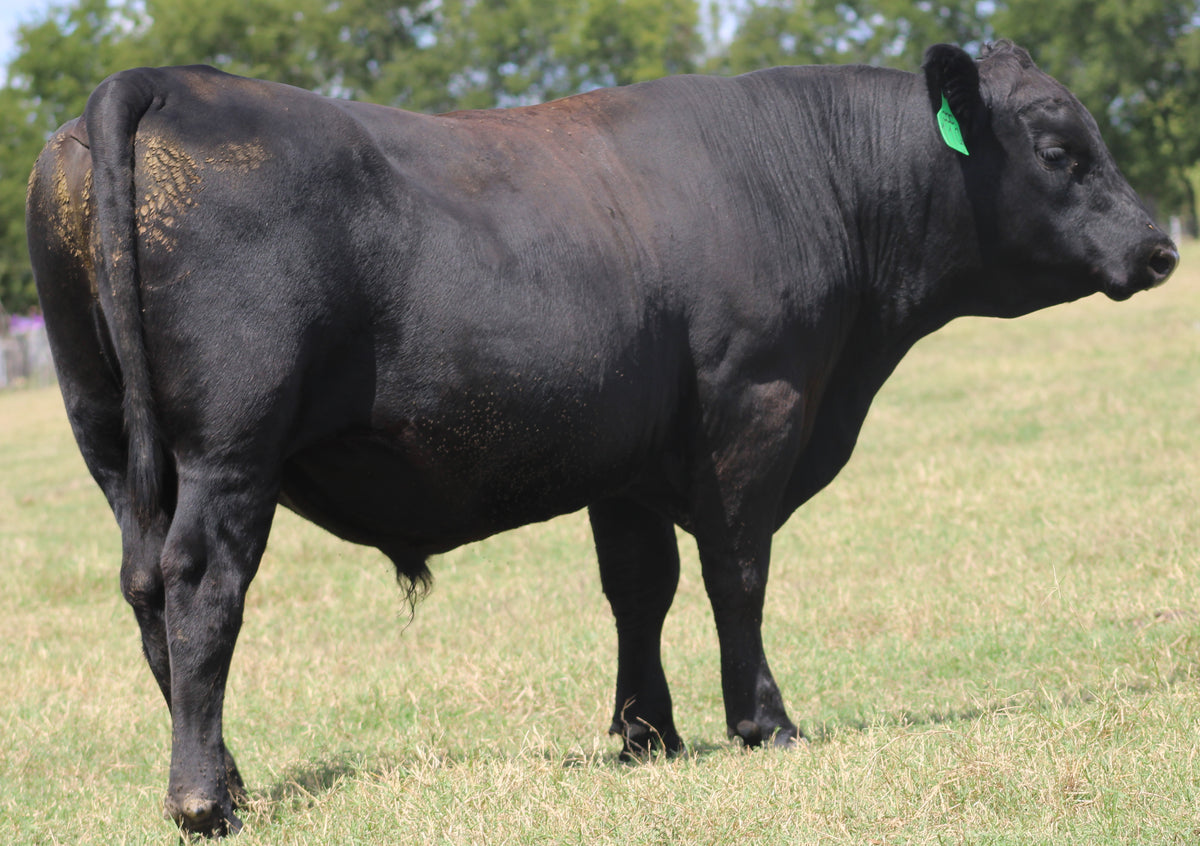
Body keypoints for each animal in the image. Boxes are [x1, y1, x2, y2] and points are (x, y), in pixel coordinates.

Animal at [23, 39, 1176, 830]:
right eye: (1063, 152)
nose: (1160, 246)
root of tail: (164, 80)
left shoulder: (627, 456)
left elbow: (640, 588)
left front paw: (646, 736)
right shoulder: (755, 406)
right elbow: (736, 574)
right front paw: (763, 722)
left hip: (109, 438)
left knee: (144, 591)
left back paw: (230, 775)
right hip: (230, 449)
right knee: (201, 587)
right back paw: (204, 800)